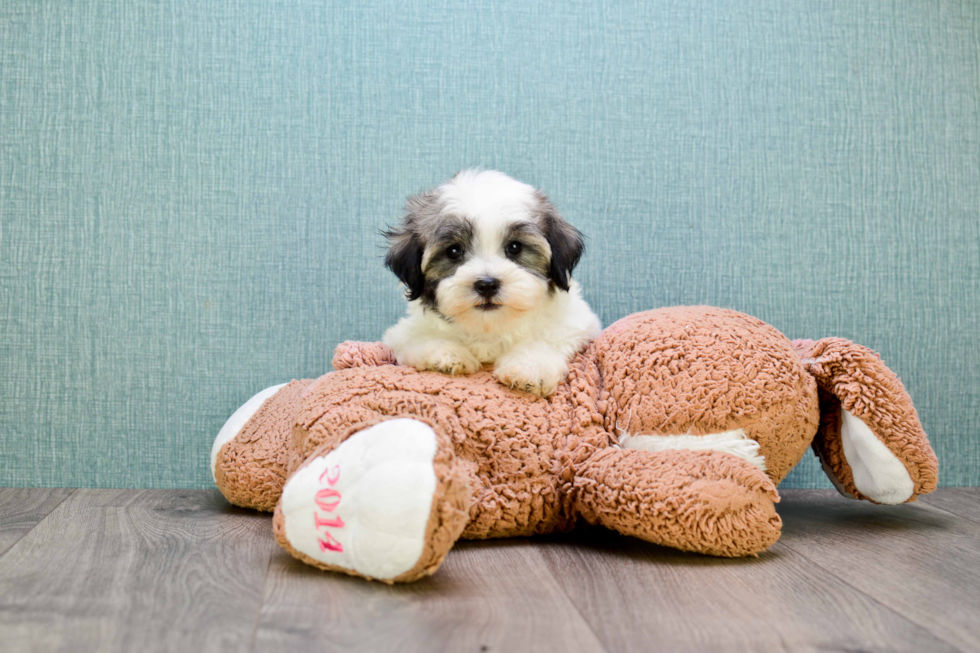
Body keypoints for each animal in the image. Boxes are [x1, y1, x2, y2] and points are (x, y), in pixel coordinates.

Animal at [380, 168, 596, 394]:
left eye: (515, 247)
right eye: (453, 251)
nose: (487, 285)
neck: (490, 326)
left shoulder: (576, 323)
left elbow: (546, 339)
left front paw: (529, 367)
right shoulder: (402, 333)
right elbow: (422, 337)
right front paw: (447, 354)